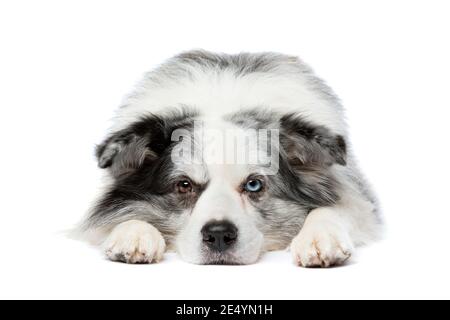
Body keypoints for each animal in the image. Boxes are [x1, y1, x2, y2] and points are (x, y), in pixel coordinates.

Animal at [75, 50, 382, 268]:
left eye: (254, 184)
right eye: (184, 185)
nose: (219, 235)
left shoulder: (357, 196)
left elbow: (334, 208)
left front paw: (319, 237)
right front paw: (133, 234)